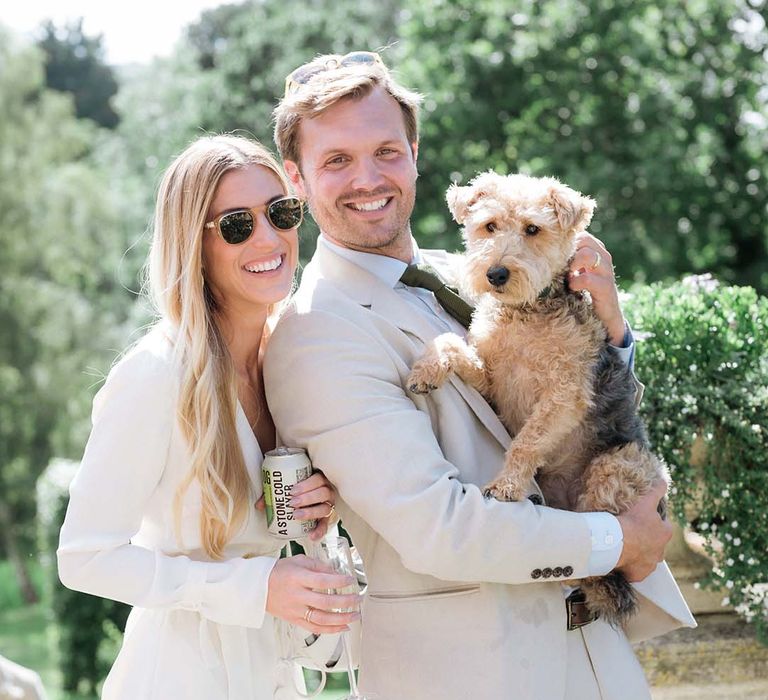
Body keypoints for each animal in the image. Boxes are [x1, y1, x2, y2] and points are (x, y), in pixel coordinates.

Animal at [408, 172, 664, 628]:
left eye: (533, 229)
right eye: (489, 225)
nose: (496, 273)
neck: (523, 312)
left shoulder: (563, 394)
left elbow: (526, 442)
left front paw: (506, 486)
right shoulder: (492, 382)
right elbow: (451, 343)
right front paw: (425, 372)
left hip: (615, 467)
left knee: (604, 556)